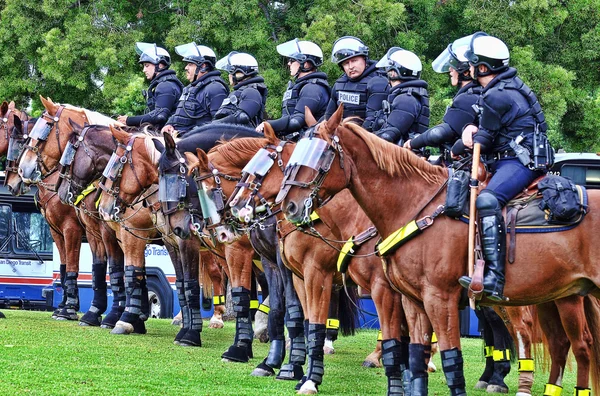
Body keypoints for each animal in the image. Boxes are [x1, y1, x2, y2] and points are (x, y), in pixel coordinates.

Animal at [280, 106, 600, 396]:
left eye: (320, 154)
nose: (290, 206)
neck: (413, 206)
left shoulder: (436, 299)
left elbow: (451, 361)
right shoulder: (413, 301)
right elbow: (414, 356)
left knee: (571, 343)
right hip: (554, 296)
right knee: (560, 343)